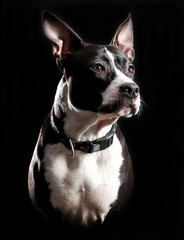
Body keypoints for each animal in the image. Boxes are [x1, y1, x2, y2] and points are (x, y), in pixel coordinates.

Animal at [27, 11, 141, 228]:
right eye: (97, 68)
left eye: (130, 69)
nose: (132, 89)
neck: (87, 139)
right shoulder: (49, 214)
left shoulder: (115, 212)